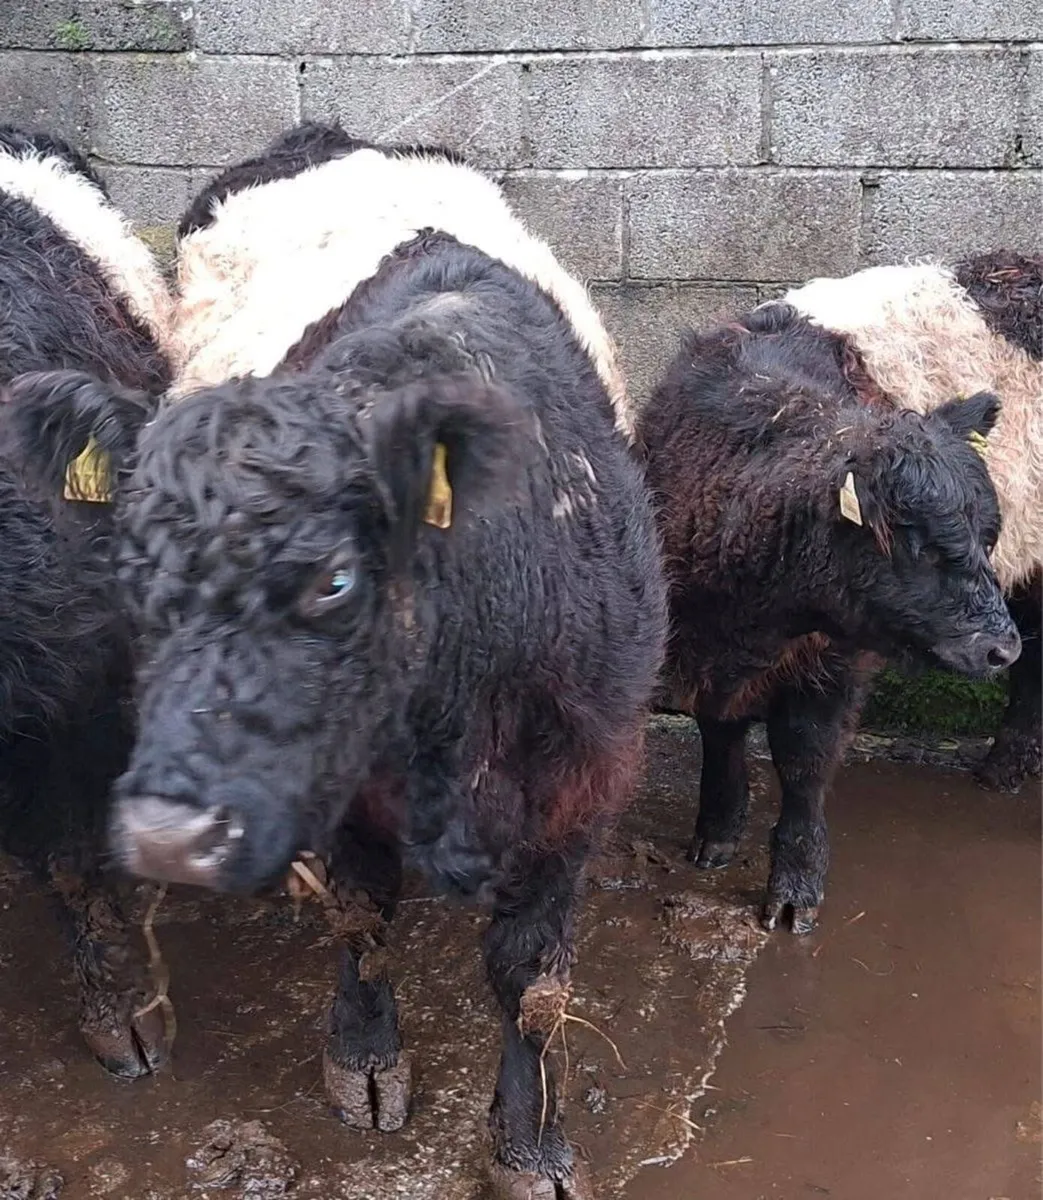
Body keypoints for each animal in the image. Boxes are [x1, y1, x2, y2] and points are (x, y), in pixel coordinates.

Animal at [83, 123, 665, 1198]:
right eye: (131, 571)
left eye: (336, 581)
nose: (164, 837)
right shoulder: (348, 792)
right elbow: (360, 917)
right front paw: (361, 1058)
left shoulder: (588, 774)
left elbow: (532, 978)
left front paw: (531, 1141)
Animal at [638, 301, 1021, 935]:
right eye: (919, 544)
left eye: (987, 538)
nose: (1003, 648)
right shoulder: (699, 647)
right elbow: (720, 730)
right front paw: (717, 833)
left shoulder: (834, 664)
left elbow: (805, 761)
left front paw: (796, 890)